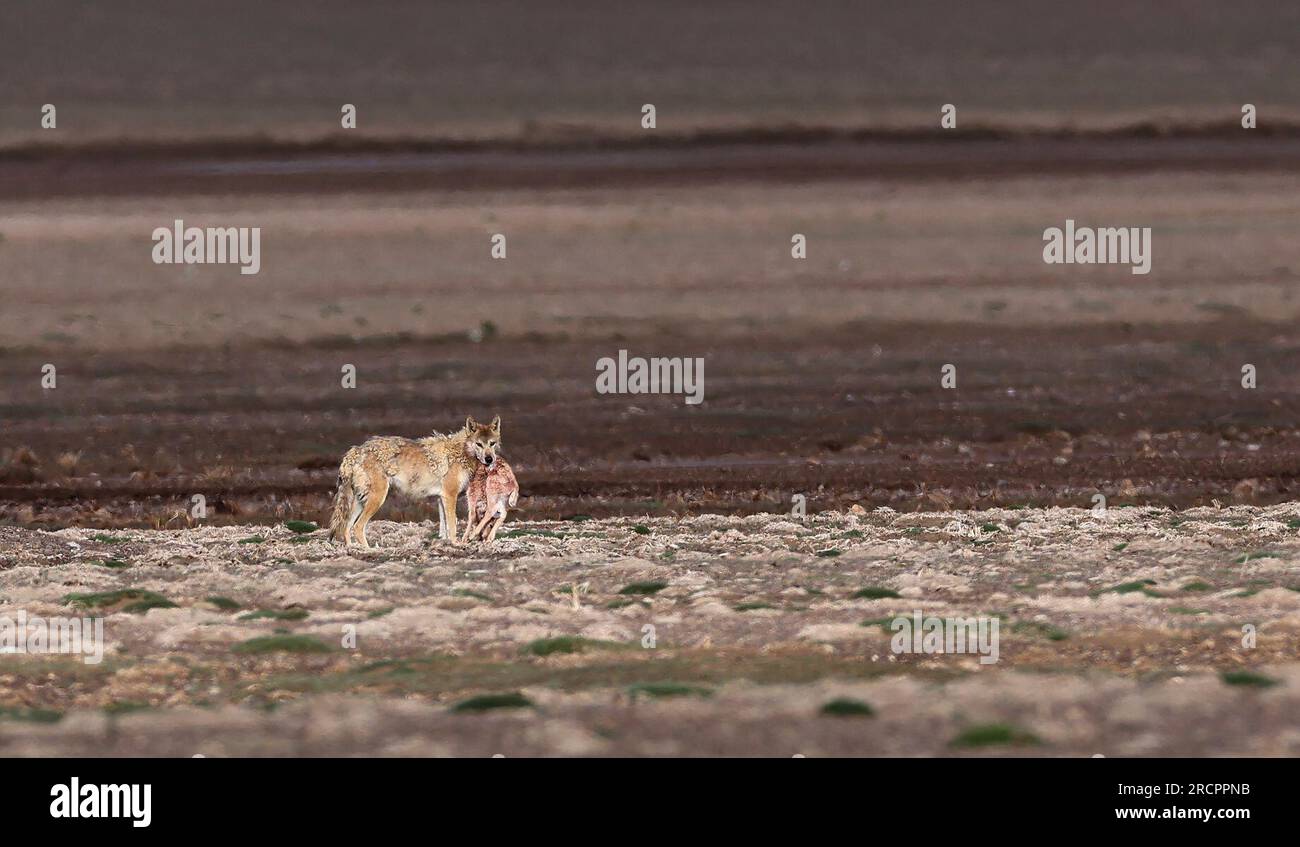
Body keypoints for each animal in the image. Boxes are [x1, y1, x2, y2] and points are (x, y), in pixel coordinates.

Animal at [327, 415, 499, 548]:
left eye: (492, 443)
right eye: (479, 444)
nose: (489, 459)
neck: (461, 452)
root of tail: (356, 450)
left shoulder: (441, 498)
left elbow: (444, 526)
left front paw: (444, 542)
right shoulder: (450, 496)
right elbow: (453, 524)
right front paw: (455, 543)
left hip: (360, 501)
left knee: (346, 528)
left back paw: (352, 549)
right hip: (376, 499)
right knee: (357, 527)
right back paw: (371, 551)